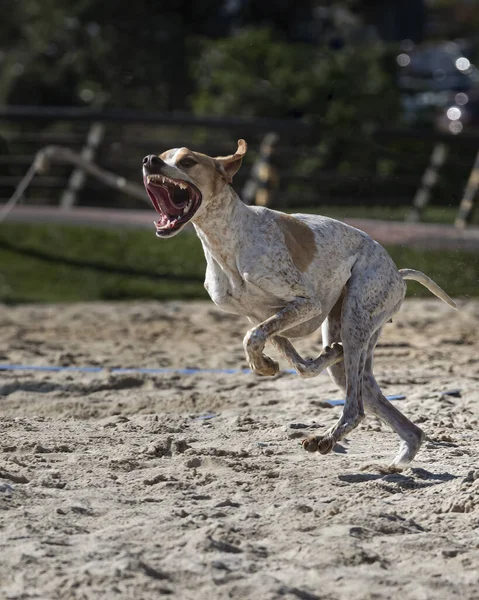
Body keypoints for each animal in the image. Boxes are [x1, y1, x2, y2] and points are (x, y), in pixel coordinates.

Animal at [142, 142, 458, 468]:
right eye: (162, 156)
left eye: (188, 161)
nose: (149, 161)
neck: (230, 237)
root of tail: (397, 273)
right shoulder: (259, 316)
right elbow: (297, 363)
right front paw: (269, 364)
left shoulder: (306, 304)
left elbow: (253, 338)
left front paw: (263, 363)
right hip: (350, 349)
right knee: (403, 423)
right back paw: (395, 461)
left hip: (355, 323)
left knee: (355, 408)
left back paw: (326, 439)